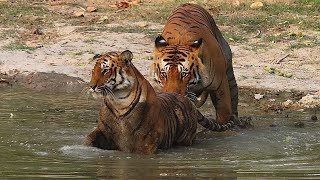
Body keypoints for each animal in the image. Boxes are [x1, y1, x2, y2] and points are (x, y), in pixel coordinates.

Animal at [84, 50, 235, 155]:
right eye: (93, 70)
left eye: (105, 70)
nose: (91, 86)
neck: (119, 101)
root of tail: (187, 99)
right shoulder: (103, 132)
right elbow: (88, 141)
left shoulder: (146, 142)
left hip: (186, 138)